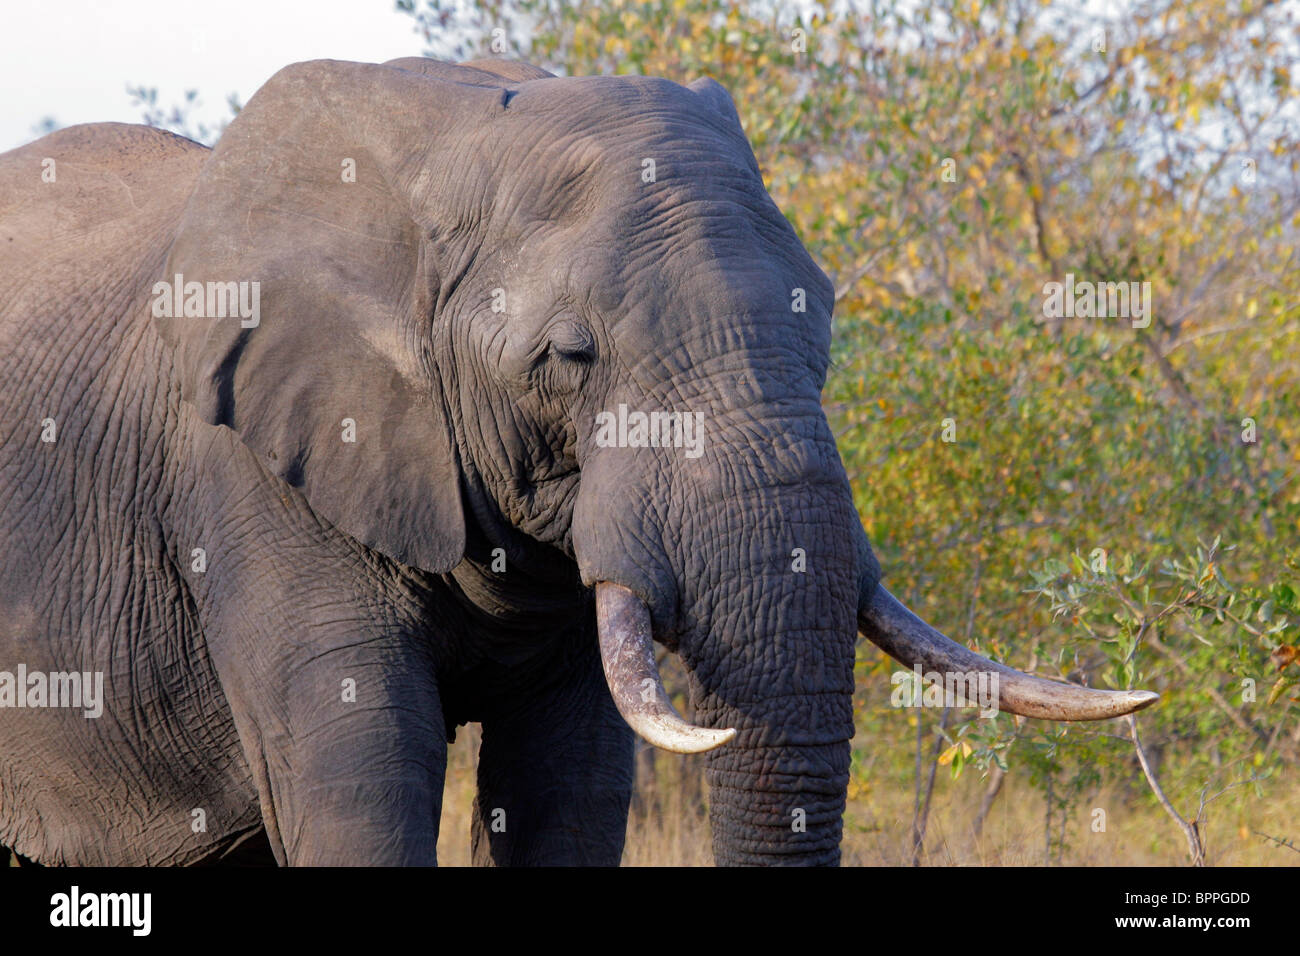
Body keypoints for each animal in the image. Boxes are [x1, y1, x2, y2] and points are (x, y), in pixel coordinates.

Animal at [0, 57, 1159, 868]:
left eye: (823, 324)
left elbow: (573, 785)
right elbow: (364, 793)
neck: (453, 133)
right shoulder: (252, 485)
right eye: (567, 357)